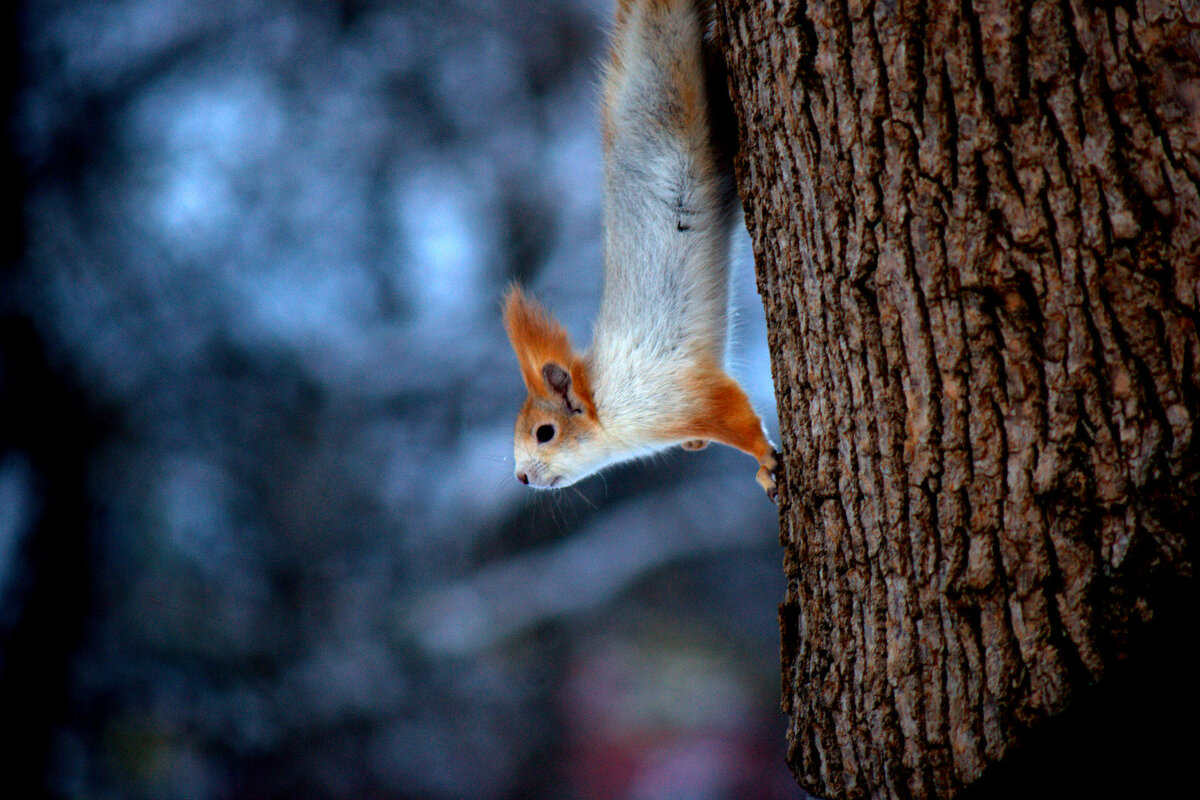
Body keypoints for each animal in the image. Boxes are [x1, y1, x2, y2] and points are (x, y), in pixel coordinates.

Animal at [499, 0, 772, 501]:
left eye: (545, 433)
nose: (522, 478)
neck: (606, 407)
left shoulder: (675, 396)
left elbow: (735, 414)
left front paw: (765, 459)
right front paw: (698, 445)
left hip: (680, 97)